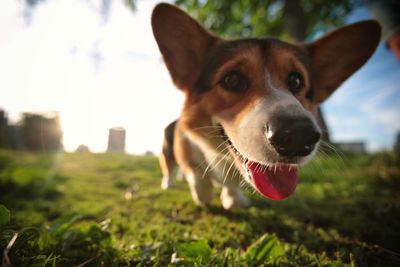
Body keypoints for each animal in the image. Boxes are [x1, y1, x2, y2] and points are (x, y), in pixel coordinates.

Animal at [152, 3, 380, 210]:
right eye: (232, 79)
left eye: (296, 81)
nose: (298, 135)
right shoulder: (185, 146)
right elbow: (197, 176)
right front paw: (204, 194)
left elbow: (231, 183)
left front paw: (233, 198)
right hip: (166, 151)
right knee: (169, 167)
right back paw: (169, 183)